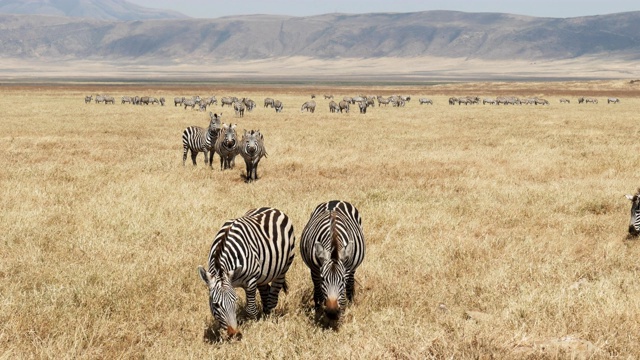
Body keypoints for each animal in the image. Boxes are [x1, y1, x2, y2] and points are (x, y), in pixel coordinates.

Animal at [196, 207, 296, 338]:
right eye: (216, 304)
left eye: (235, 301)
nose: (235, 334)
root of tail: (272, 208)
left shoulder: (251, 281)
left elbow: (250, 309)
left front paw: (254, 327)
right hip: (263, 275)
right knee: (266, 292)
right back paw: (265, 313)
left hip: (283, 269)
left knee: (273, 296)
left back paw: (269, 317)